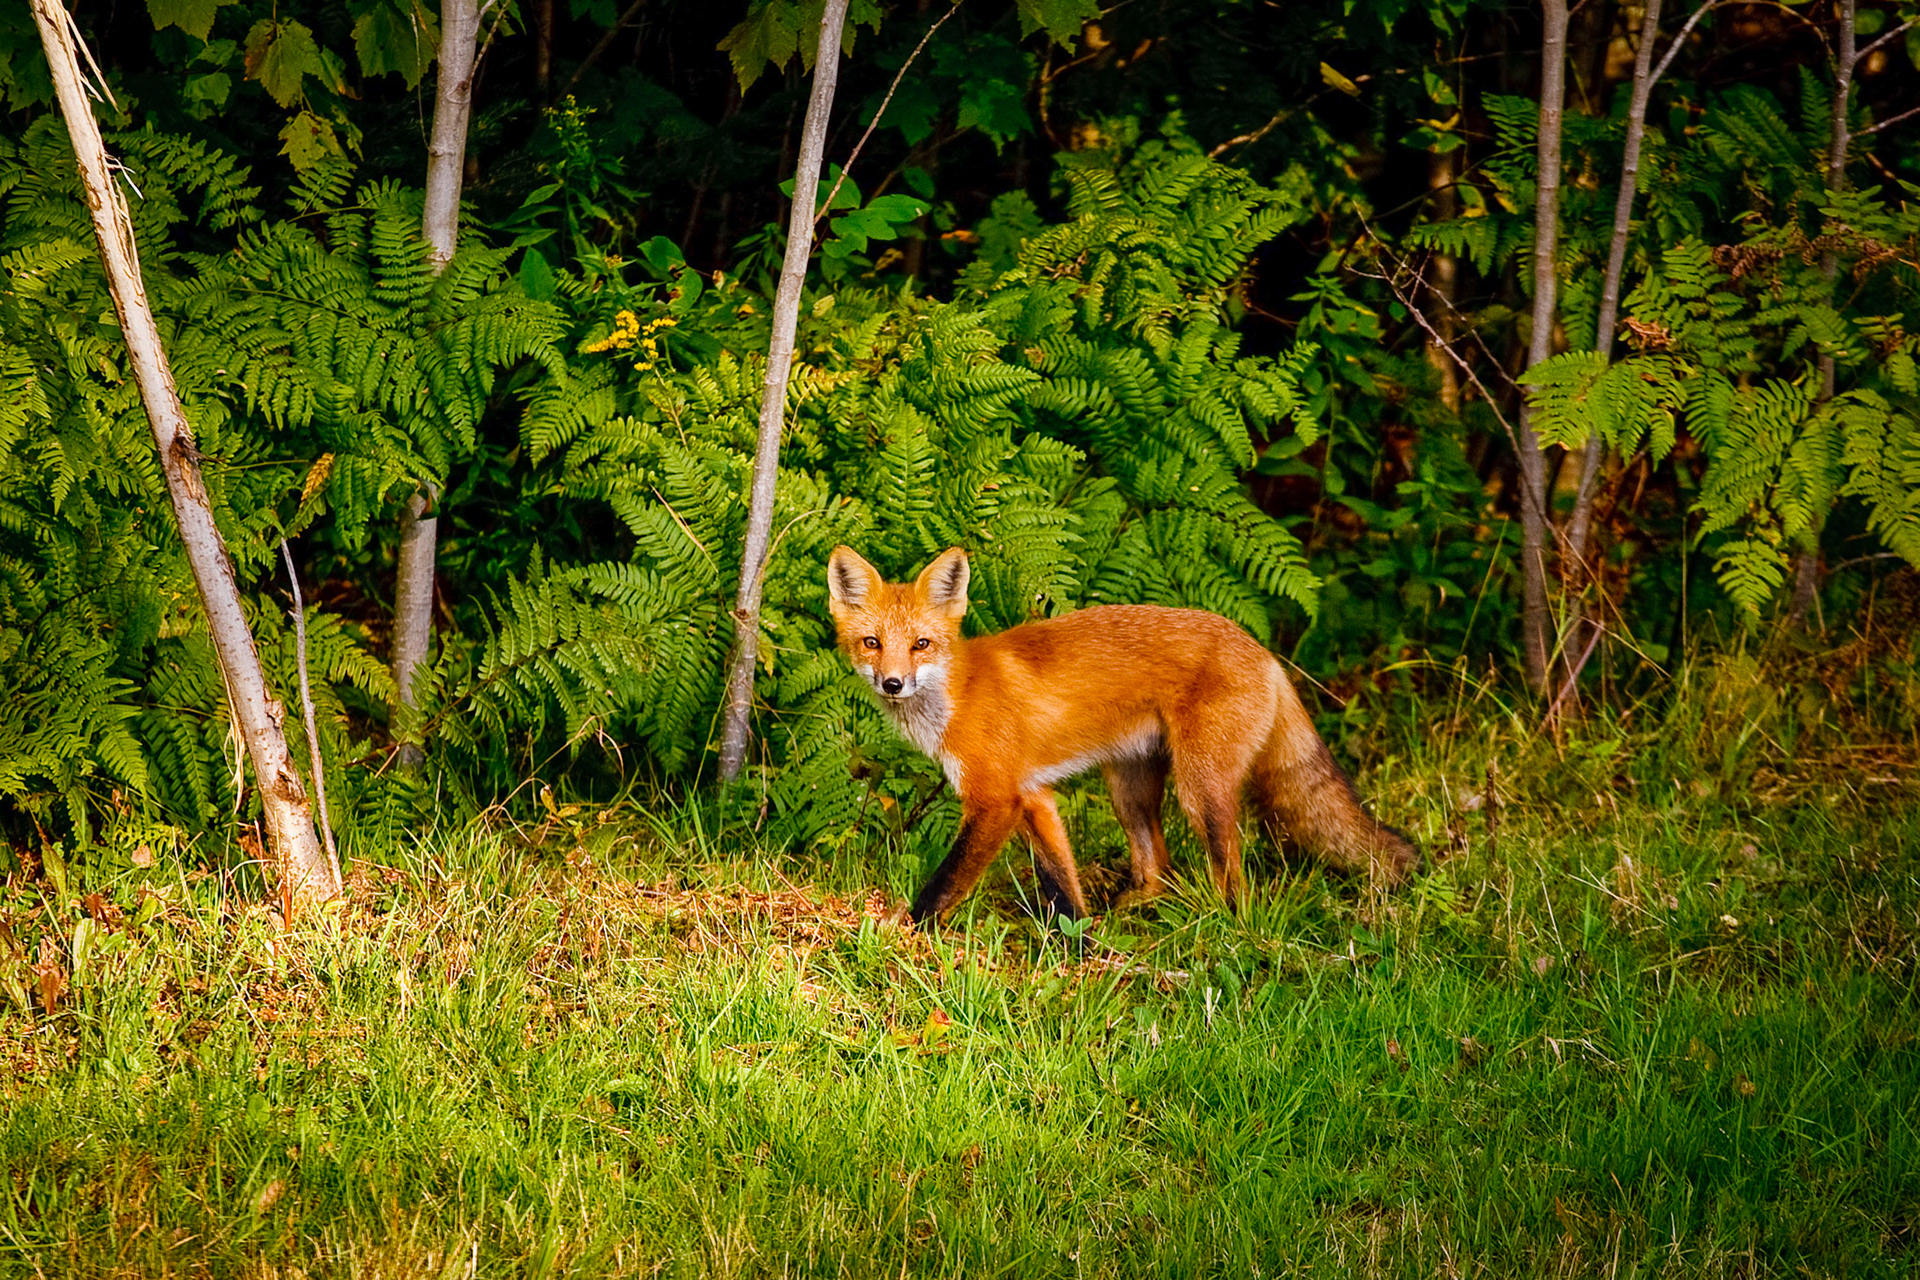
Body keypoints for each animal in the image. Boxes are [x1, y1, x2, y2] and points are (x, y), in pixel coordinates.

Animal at [825, 545, 1419, 925]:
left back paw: (1230, 932)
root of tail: (1265, 652)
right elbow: (1062, 889)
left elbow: (945, 883)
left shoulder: (995, 801)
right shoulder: (1034, 799)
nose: (893, 683)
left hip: (1199, 792)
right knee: (1160, 868)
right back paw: (1144, 907)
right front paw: (1081, 952)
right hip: (1128, 792)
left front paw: (906, 933)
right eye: (872, 643)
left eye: (921, 644)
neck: (957, 695)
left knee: (1234, 878)